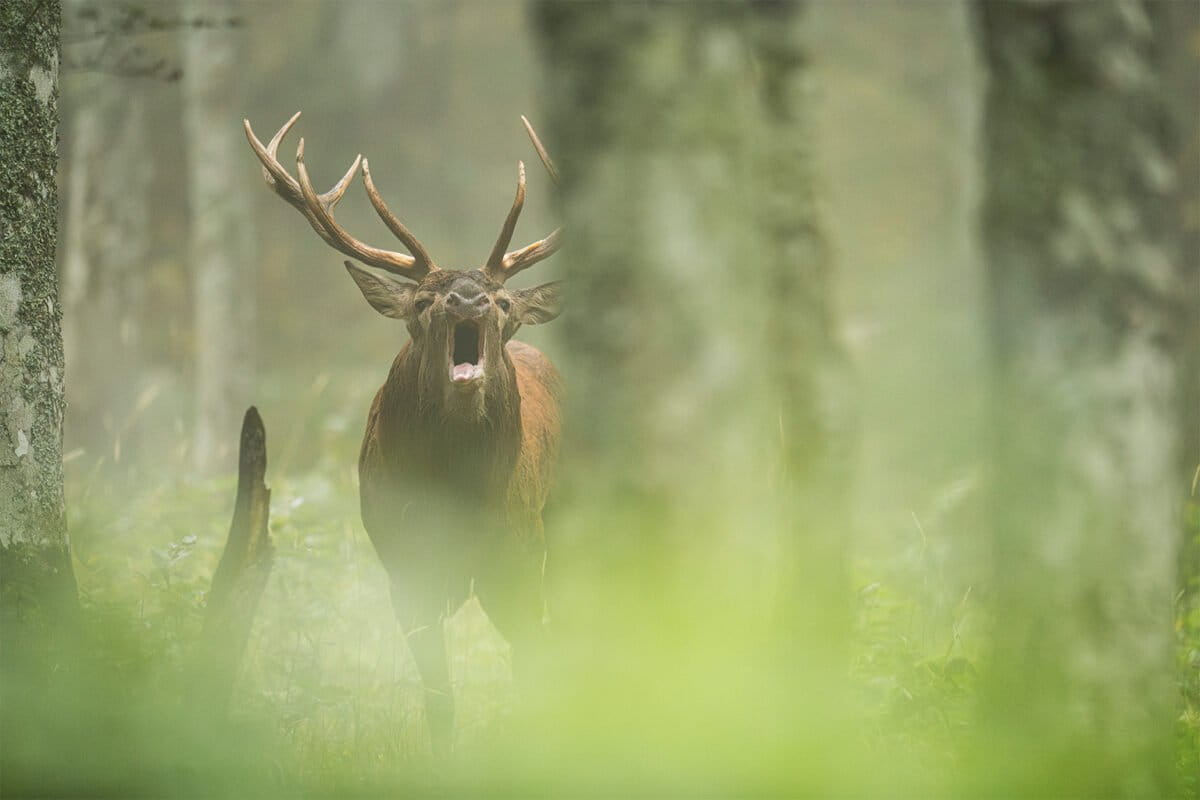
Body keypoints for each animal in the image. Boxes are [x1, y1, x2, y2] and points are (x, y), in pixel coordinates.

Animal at [244, 112, 563, 753]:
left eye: (503, 302)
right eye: (422, 300)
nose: (468, 298)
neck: (456, 493)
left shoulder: (521, 552)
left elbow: (531, 665)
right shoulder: (404, 565)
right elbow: (439, 696)